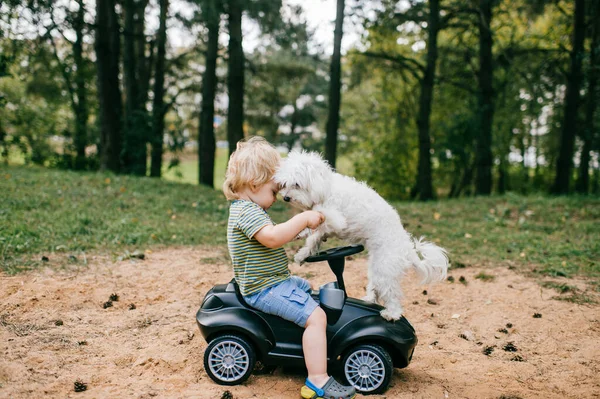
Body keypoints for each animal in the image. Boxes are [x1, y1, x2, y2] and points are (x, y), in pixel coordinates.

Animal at [274, 151, 448, 322]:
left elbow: (318, 217)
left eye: (297, 184)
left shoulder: (335, 218)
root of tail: (407, 249)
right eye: (285, 184)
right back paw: (369, 299)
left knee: (392, 295)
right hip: (376, 268)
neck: (326, 188)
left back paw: (391, 314)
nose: (286, 198)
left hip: (384, 269)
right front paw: (302, 248)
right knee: (376, 288)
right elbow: (313, 237)